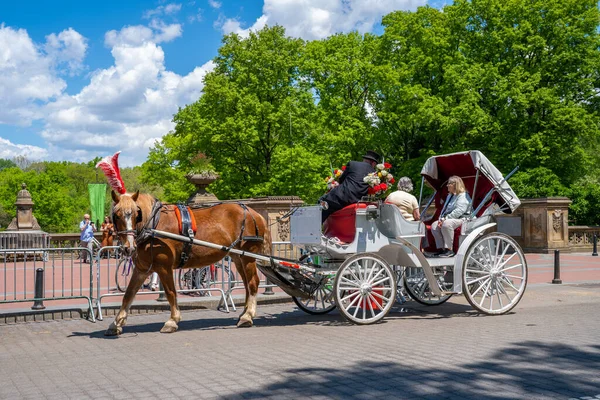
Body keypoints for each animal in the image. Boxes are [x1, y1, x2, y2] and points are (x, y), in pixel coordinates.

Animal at [103, 192, 272, 336]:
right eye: (116, 215)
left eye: (135, 214)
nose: (128, 247)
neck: (153, 224)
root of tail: (255, 213)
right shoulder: (142, 269)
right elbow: (128, 294)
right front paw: (116, 324)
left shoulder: (164, 267)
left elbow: (171, 292)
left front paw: (172, 320)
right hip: (238, 258)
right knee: (246, 285)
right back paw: (244, 313)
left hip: (248, 257)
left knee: (253, 283)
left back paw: (248, 316)